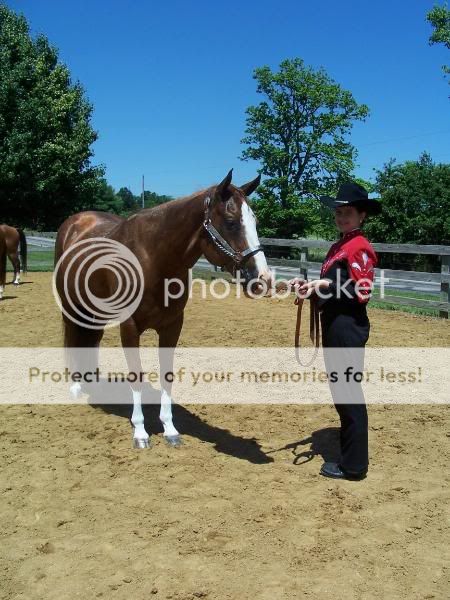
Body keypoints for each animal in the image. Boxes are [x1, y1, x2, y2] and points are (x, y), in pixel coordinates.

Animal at [52, 171, 270, 448]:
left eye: (255, 221)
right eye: (231, 222)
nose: (263, 279)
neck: (153, 258)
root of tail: (74, 223)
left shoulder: (172, 326)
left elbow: (167, 374)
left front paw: (170, 429)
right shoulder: (129, 327)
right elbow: (135, 375)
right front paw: (140, 432)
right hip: (72, 306)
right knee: (73, 337)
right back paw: (76, 387)